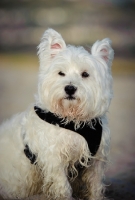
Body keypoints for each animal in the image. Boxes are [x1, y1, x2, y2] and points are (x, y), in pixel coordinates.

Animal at [0, 28, 114, 200]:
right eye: (61, 73)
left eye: (85, 74)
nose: (70, 88)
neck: (72, 119)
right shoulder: (54, 159)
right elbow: (63, 187)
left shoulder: (95, 161)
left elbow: (95, 186)